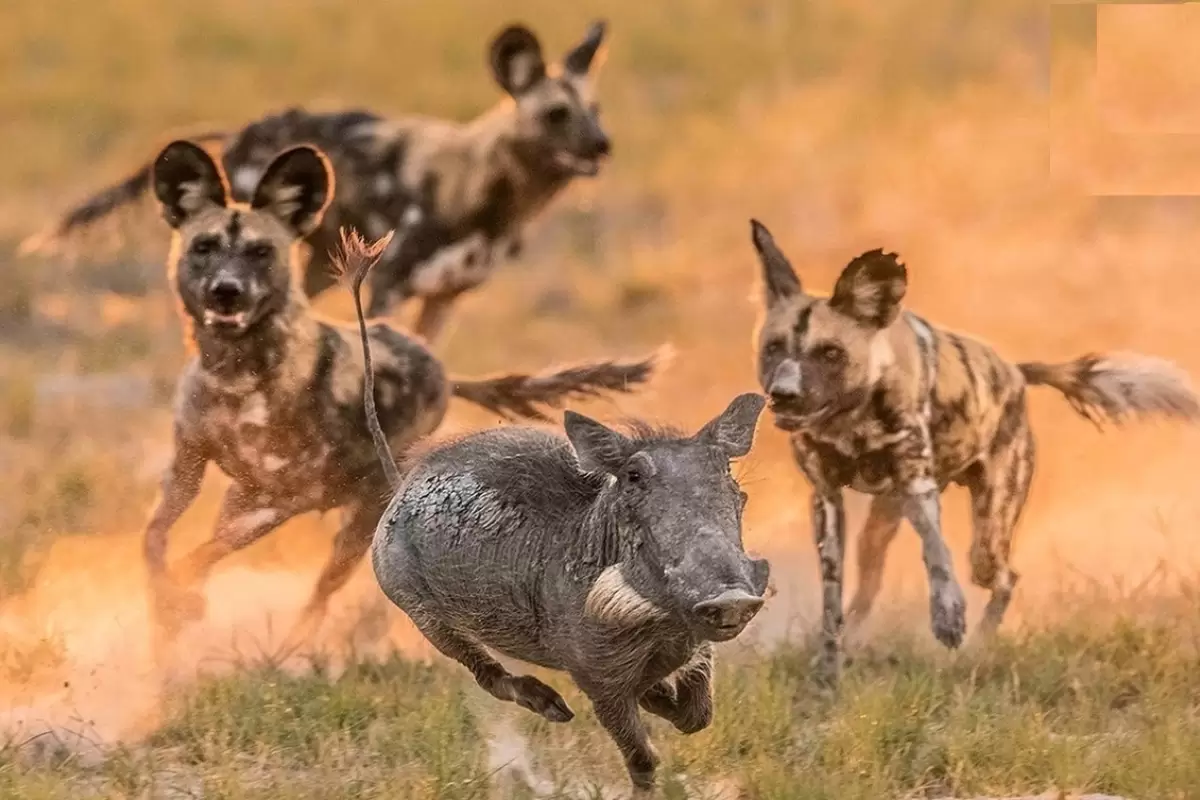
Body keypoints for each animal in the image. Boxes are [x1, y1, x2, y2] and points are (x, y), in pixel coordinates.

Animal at [21, 20, 609, 345]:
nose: (603, 145)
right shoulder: (389, 287)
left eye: (596, 110)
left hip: (319, 266)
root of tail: (238, 132)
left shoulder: (445, 299)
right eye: (557, 115)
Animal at [144, 134, 662, 652]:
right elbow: (157, 542)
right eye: (204, 247)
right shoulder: (188, 470)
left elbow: (196, 558)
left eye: (260, 252)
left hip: (360, 520)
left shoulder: (290, 497)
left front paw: (179, 604)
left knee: (320, 596)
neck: (234, 376)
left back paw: (292, 652)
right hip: (245, 497)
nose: (226, 291)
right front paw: (168, 612)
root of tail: (441, 369)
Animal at [340, 225, 768, 796]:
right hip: (423, 613)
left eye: (730, 480)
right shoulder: (602, 681)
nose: (730, 599)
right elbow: (642, 755)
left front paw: (665, 699)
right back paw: (555, 708)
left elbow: (696, 715)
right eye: (634, 478)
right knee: (486, 673)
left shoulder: (696, 649)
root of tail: (400, 487)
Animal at [748, 219, 1200, 690]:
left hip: (984, 535)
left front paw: (948, 617)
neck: (850, 418)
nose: (783, 394)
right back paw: (857, 642)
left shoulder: (918, 485)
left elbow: (937, 555)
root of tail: (1016, 372)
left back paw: (978, 649)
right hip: (880, 525)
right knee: (868, 588)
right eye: (774, 348)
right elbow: (832, 600)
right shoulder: (828, 501)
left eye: (830, 354)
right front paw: (827, 671)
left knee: (1003, 578)